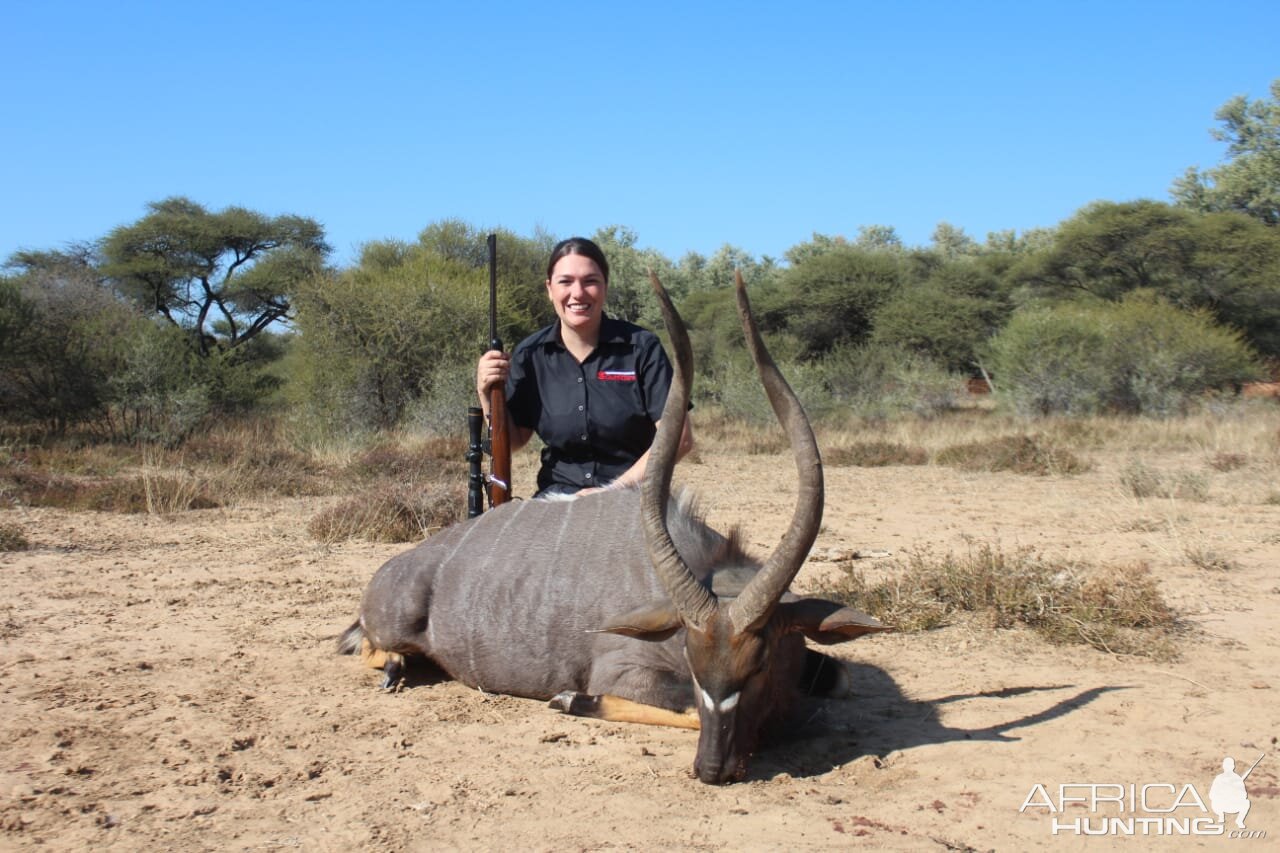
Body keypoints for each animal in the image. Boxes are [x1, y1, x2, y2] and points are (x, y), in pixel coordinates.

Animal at [335, 268, 885, 778]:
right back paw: (396, 667)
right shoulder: (624, 672)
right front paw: (569, 699)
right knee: (371, 648)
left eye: (762, 660)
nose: (712, 768)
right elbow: (680, 705)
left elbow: (842, 679)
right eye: (692, 658)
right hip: (394, 627)